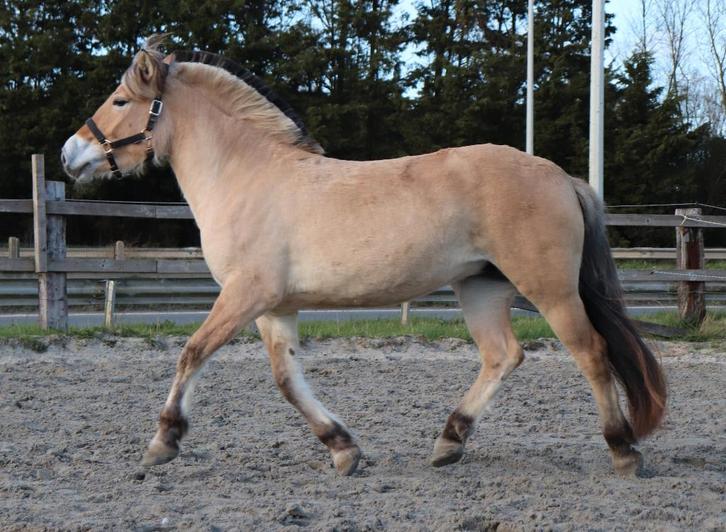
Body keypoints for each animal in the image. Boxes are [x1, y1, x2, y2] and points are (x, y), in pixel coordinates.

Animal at [61, 37, 666, 477]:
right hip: (481, 286)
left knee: (591, 353)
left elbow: (191, 353)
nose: (70, 154)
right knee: (503, 355)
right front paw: (343, 449)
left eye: (120, 101)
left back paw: (623, 451)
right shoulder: (274, 306)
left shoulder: (245, 294)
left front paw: (163, 441)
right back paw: (448, 442)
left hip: (550, 289)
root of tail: (562, 177)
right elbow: (287, 380)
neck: (247, 176)